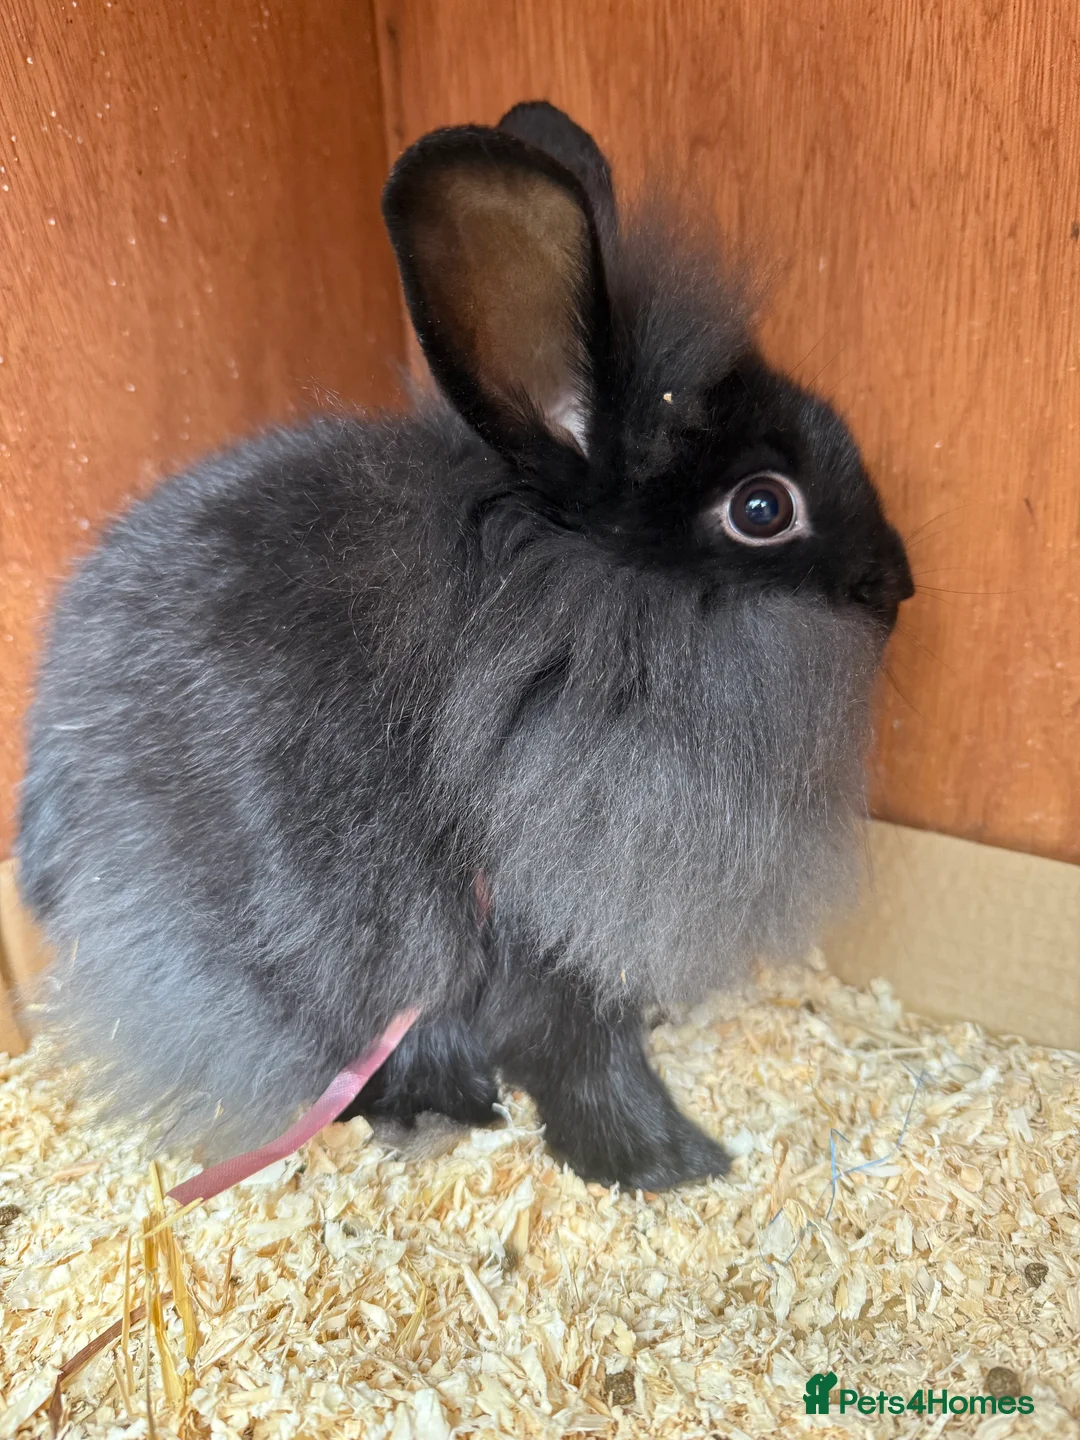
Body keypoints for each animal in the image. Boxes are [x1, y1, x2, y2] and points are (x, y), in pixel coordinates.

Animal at [16, 101, 913, 1191]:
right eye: (761, 508)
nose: (900, 585)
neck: (578, 605)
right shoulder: (535, 932)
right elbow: (584, 1051)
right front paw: (666, 1160)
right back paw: (440, 1112)